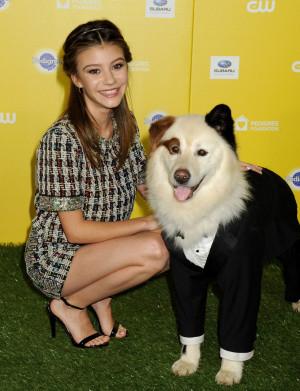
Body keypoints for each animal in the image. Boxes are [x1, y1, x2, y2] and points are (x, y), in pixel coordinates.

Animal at [146, 104, 300, 386]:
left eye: (202, 152)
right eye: (174, 148)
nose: (180, 177)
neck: (204, 206)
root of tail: (275, 176)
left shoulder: (242, 276)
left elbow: (236, 325)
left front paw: (230, 369)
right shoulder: (185, 275)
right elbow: (190, 325)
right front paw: (189, 361)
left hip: (288, 242)